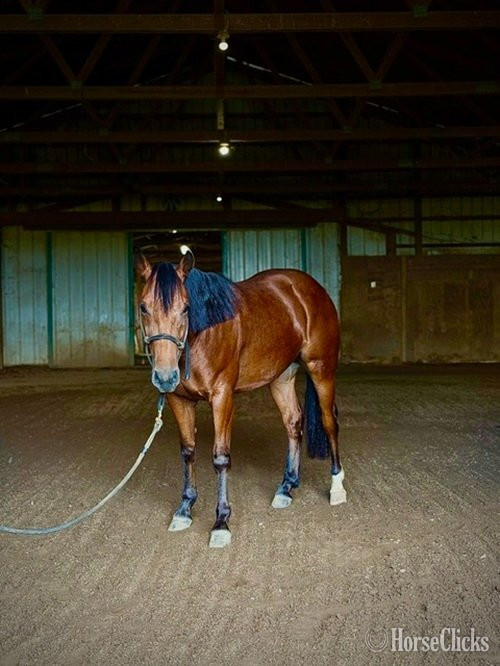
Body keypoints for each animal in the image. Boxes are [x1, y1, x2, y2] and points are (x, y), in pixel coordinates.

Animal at [135, 248, 346, 548]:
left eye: (186, 308)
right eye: (143, 307)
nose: (165, 376)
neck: (204, 333)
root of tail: (312, 289)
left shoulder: (222, 397)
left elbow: (221, 457)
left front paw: (221, 523)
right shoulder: (179, 400)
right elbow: (188, 452)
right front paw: (184, 510)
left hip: (322, 369)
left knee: (330, 422)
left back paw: (337, 488)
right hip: (281, 378)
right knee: (294, 423)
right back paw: (286, 487)